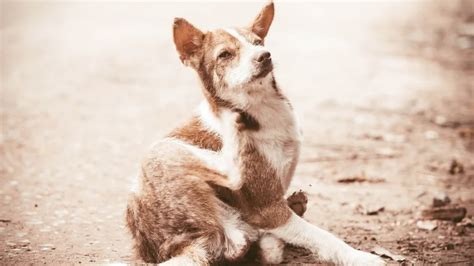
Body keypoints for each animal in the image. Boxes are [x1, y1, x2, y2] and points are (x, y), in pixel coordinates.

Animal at [126, 2, 386, 266]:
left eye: (258, 42)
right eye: (225, 54)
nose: (265, 55)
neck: (262, 109)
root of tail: (188, 247)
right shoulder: (267, 209)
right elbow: (320, 236)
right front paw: (358, 256)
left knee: (248, 247)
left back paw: (292, 208)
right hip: (162, 151)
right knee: (233, 199)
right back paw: (231, 127)